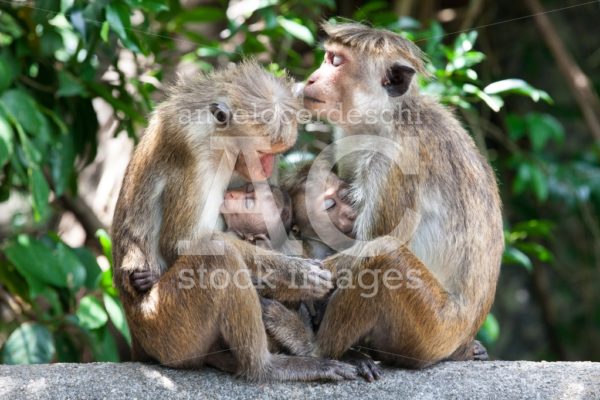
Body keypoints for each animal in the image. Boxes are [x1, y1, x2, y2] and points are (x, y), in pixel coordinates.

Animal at [111, 61, 356, 382]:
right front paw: (296, 275)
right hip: (167, 333)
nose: (264, 168)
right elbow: (183, 242)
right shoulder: (193, 151)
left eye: (275, 153)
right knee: (218, 255)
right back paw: (267, 367)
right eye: (260, 152)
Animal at [298, 21, 502, 372]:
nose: (311, 78)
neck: (390, 118)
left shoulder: (393, 163)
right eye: (327, 58)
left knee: (384, 259)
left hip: (432, 331)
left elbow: (373, 244)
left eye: (336, 62)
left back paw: (319, 352)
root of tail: (458, 341)